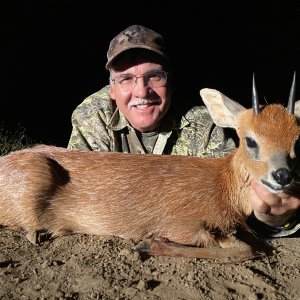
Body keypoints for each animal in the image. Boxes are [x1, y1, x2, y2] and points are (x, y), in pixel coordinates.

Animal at [0, 74, 298, 258]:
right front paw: (151, 244)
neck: (223, 186)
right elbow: (239, 250)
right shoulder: (180, 222)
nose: (283, 175)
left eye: (296, 139)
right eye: (250, 140)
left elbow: (245, 248)